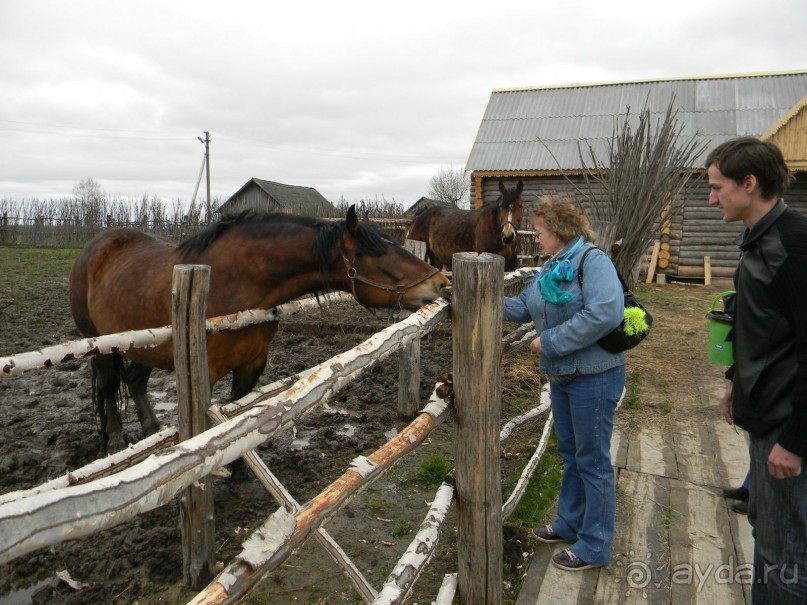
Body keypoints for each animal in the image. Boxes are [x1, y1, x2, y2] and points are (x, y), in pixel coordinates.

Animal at [68, 204, 448, 452]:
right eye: (380, 254)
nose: (441, 283)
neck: (237, 286)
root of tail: (95, 246)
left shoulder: (252, 364)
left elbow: (238, 415)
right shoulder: (205, 373)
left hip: (144, 344)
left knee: (134, 381)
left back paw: (151, 429)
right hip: (101, 344)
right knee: (108, 384)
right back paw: (116, 441)